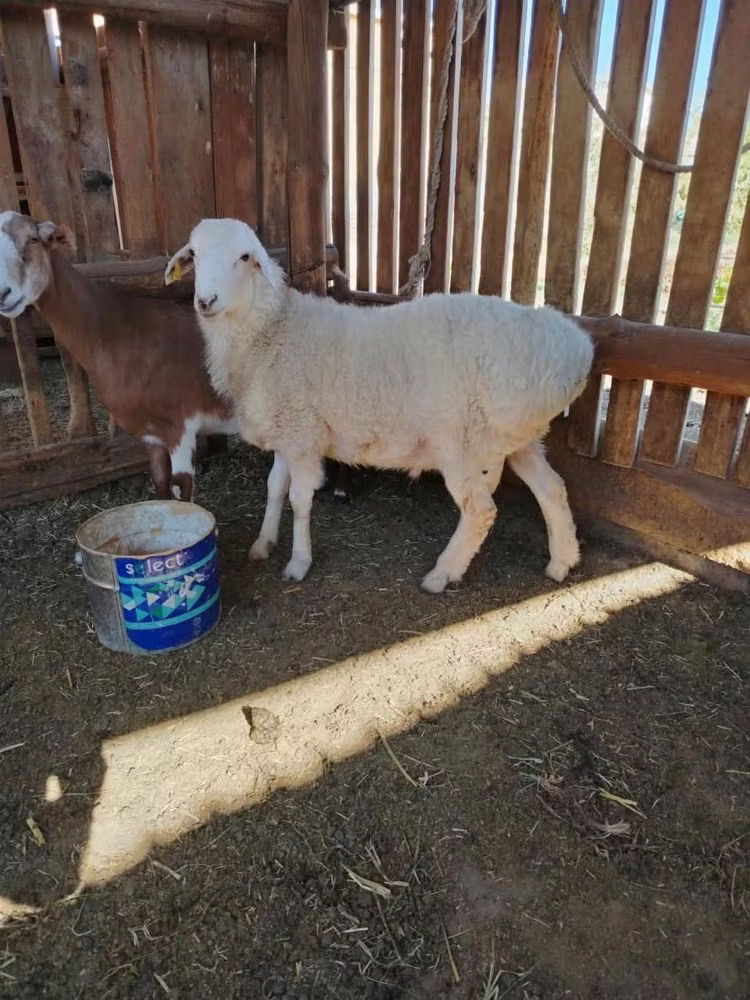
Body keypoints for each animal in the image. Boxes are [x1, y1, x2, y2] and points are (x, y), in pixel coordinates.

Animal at [0, 211, 237, 500]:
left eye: (33, 239)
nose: (4, 294)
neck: (118, 331)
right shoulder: (151, 432)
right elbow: (160, 483)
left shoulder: (178, 426)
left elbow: (182, 492)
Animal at [165, 217, 594, 593]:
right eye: (195, 254)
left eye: (244, 257)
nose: (206, 300)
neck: (272, 332)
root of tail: (571, 349)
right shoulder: (292, 429)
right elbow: (274, 489)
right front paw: (263, 543)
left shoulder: (302, 436)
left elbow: (300, 501)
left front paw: (299, 562)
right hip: (518, 436)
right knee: (552, 489)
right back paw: (562, 561)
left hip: (460, 440)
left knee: (480, 510)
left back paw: (443, 574)